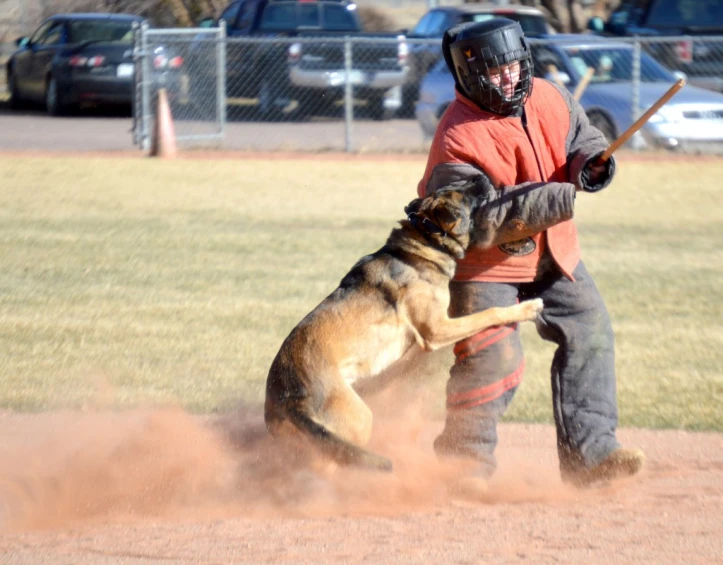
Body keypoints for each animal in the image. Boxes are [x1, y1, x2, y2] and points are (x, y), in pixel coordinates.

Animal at [264, 182, 544, 472]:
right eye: (464, 195)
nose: (486, 180)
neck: (425, 240)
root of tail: (290, 395)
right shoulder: (436, 330)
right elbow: (491, 312)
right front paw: (529, 308)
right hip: (358, 418)